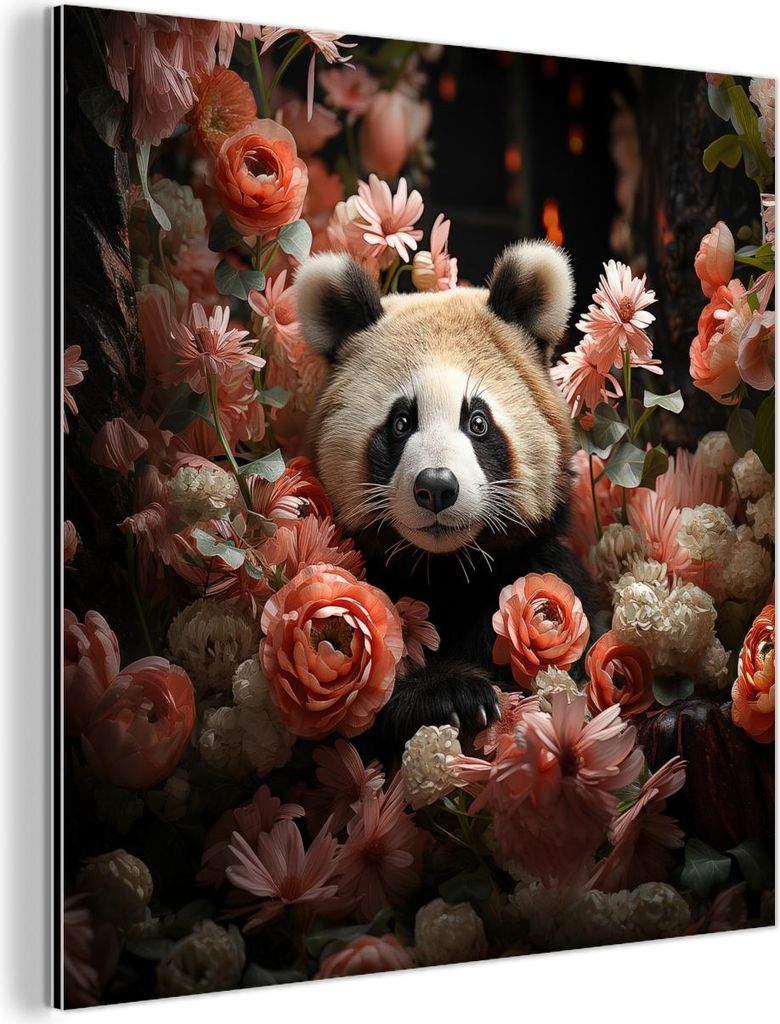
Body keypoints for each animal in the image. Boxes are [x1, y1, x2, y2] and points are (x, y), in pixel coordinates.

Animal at [294, 241, 597, 753]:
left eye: (477, 422)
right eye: (401, 423)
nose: (436, 486)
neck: (446, 567)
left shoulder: (548, 575)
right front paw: (453, 696)